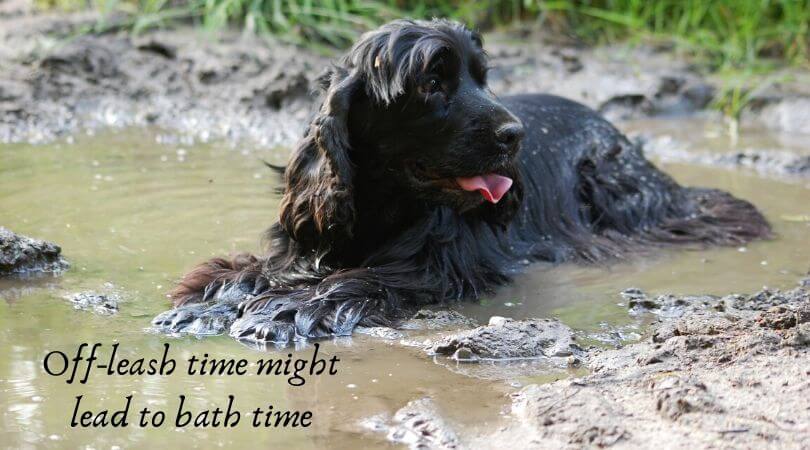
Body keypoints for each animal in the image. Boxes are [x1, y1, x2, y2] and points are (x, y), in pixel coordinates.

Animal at [153, 18, 772, 344]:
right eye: (432, 82)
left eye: (483, 77)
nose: (516, 134)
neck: (385, 205)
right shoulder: (310, 241)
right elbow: (253, 271)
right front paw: (208, 303)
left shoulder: (437, 266)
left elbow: (362, 280)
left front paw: (284, 311)